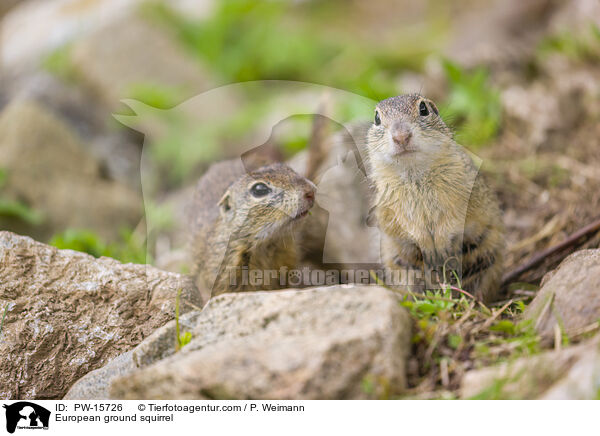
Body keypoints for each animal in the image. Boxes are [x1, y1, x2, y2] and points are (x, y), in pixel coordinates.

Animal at [366, 93, 506, 302]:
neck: (415, 174)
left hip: (489, 256)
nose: (401, 137)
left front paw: (440, 246)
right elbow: (408, 228)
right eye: (377, 118)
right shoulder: (392, 208)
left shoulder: (460, 197)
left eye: (423, 108)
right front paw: (428, 247)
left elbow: (451, 223)